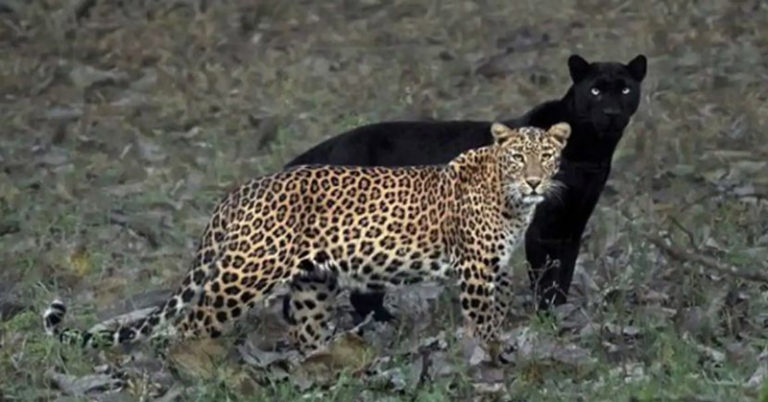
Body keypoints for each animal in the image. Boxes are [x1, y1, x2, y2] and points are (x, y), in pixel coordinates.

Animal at [42, 122, 570, 356]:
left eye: (546, 156)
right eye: (518, 158)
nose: (534, 182)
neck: (510, 200)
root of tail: (239, 191)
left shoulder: (496, 267)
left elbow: (497, 310)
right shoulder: (476, 268)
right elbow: (482, 319)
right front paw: (490, 355)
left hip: (312, 283)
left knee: (305, 330)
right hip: (244, 273)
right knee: (190, 324)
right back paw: (195, 363)